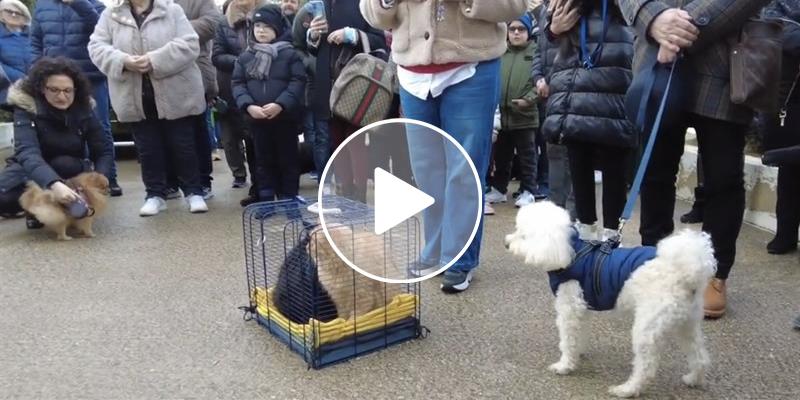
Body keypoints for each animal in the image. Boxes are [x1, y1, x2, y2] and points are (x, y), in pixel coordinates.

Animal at [276, 222, 410, 324]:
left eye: (314, 243)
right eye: (309, 241)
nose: (307, 247)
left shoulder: (362, 295)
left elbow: (357, 314)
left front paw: (351, 323)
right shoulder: (338, 298)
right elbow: (342, 316)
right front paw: (342, 322)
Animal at [506, 202, 720, 398]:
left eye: (523, 235)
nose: (506, 244)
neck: (570, 252)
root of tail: (688, 270)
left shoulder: (569, 309)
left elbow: (568, 339)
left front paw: (565, 365)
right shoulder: (582, 309)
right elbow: (579, 334)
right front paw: (579, 353)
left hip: (647, 328)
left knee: (646, 367)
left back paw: (627, 389)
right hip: (686, 323)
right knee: (699, 356)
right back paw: (693, 379)